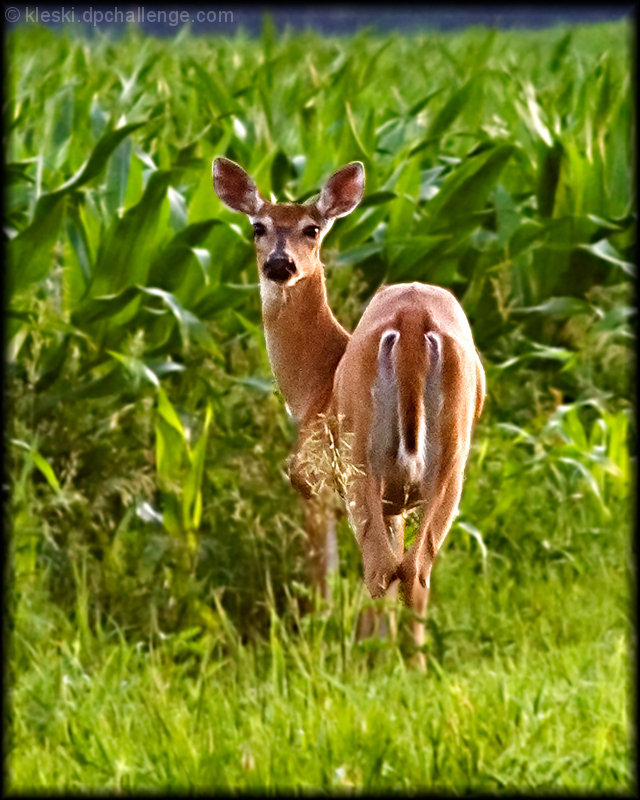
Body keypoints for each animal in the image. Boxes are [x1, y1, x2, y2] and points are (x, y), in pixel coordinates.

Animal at [211, 158, 484, 668]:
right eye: (258, 227)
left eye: (312, 228)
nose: (279, 264)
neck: (314, 386)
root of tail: (413, 321)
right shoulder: (396, 502)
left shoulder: (313, 478)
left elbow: (325, 575)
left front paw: (323, 637)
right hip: (448, 465)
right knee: (415, 572)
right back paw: (409, 666)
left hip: (361, 459)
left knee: (382, 570)